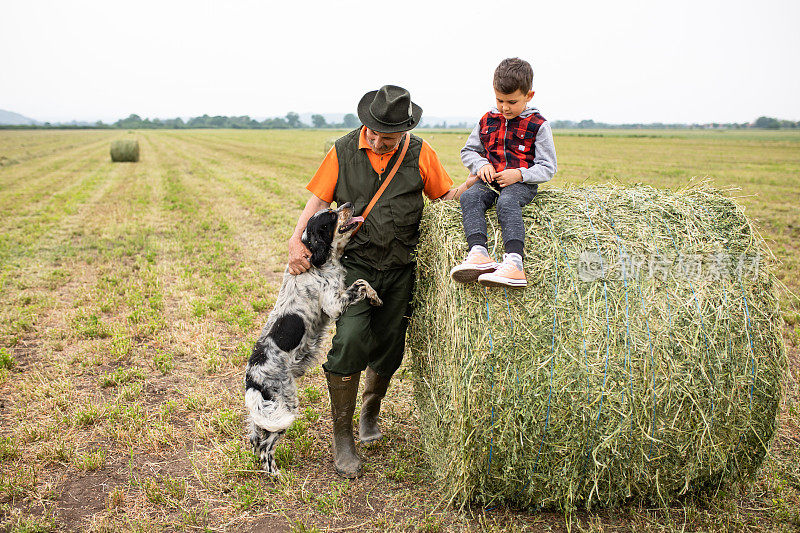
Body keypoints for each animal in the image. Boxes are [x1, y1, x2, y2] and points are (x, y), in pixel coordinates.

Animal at [244, 203, 382, 474]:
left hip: (266, 411)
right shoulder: (334, 304)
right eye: (330, 217)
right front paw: (374, 296)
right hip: (285, 405)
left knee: (256, 435)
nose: (348, 204)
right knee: (266, 446)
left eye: (334, 208)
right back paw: (277, 475)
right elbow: (362, 283)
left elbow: (361, 282)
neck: (319, 261)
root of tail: (252, 379)